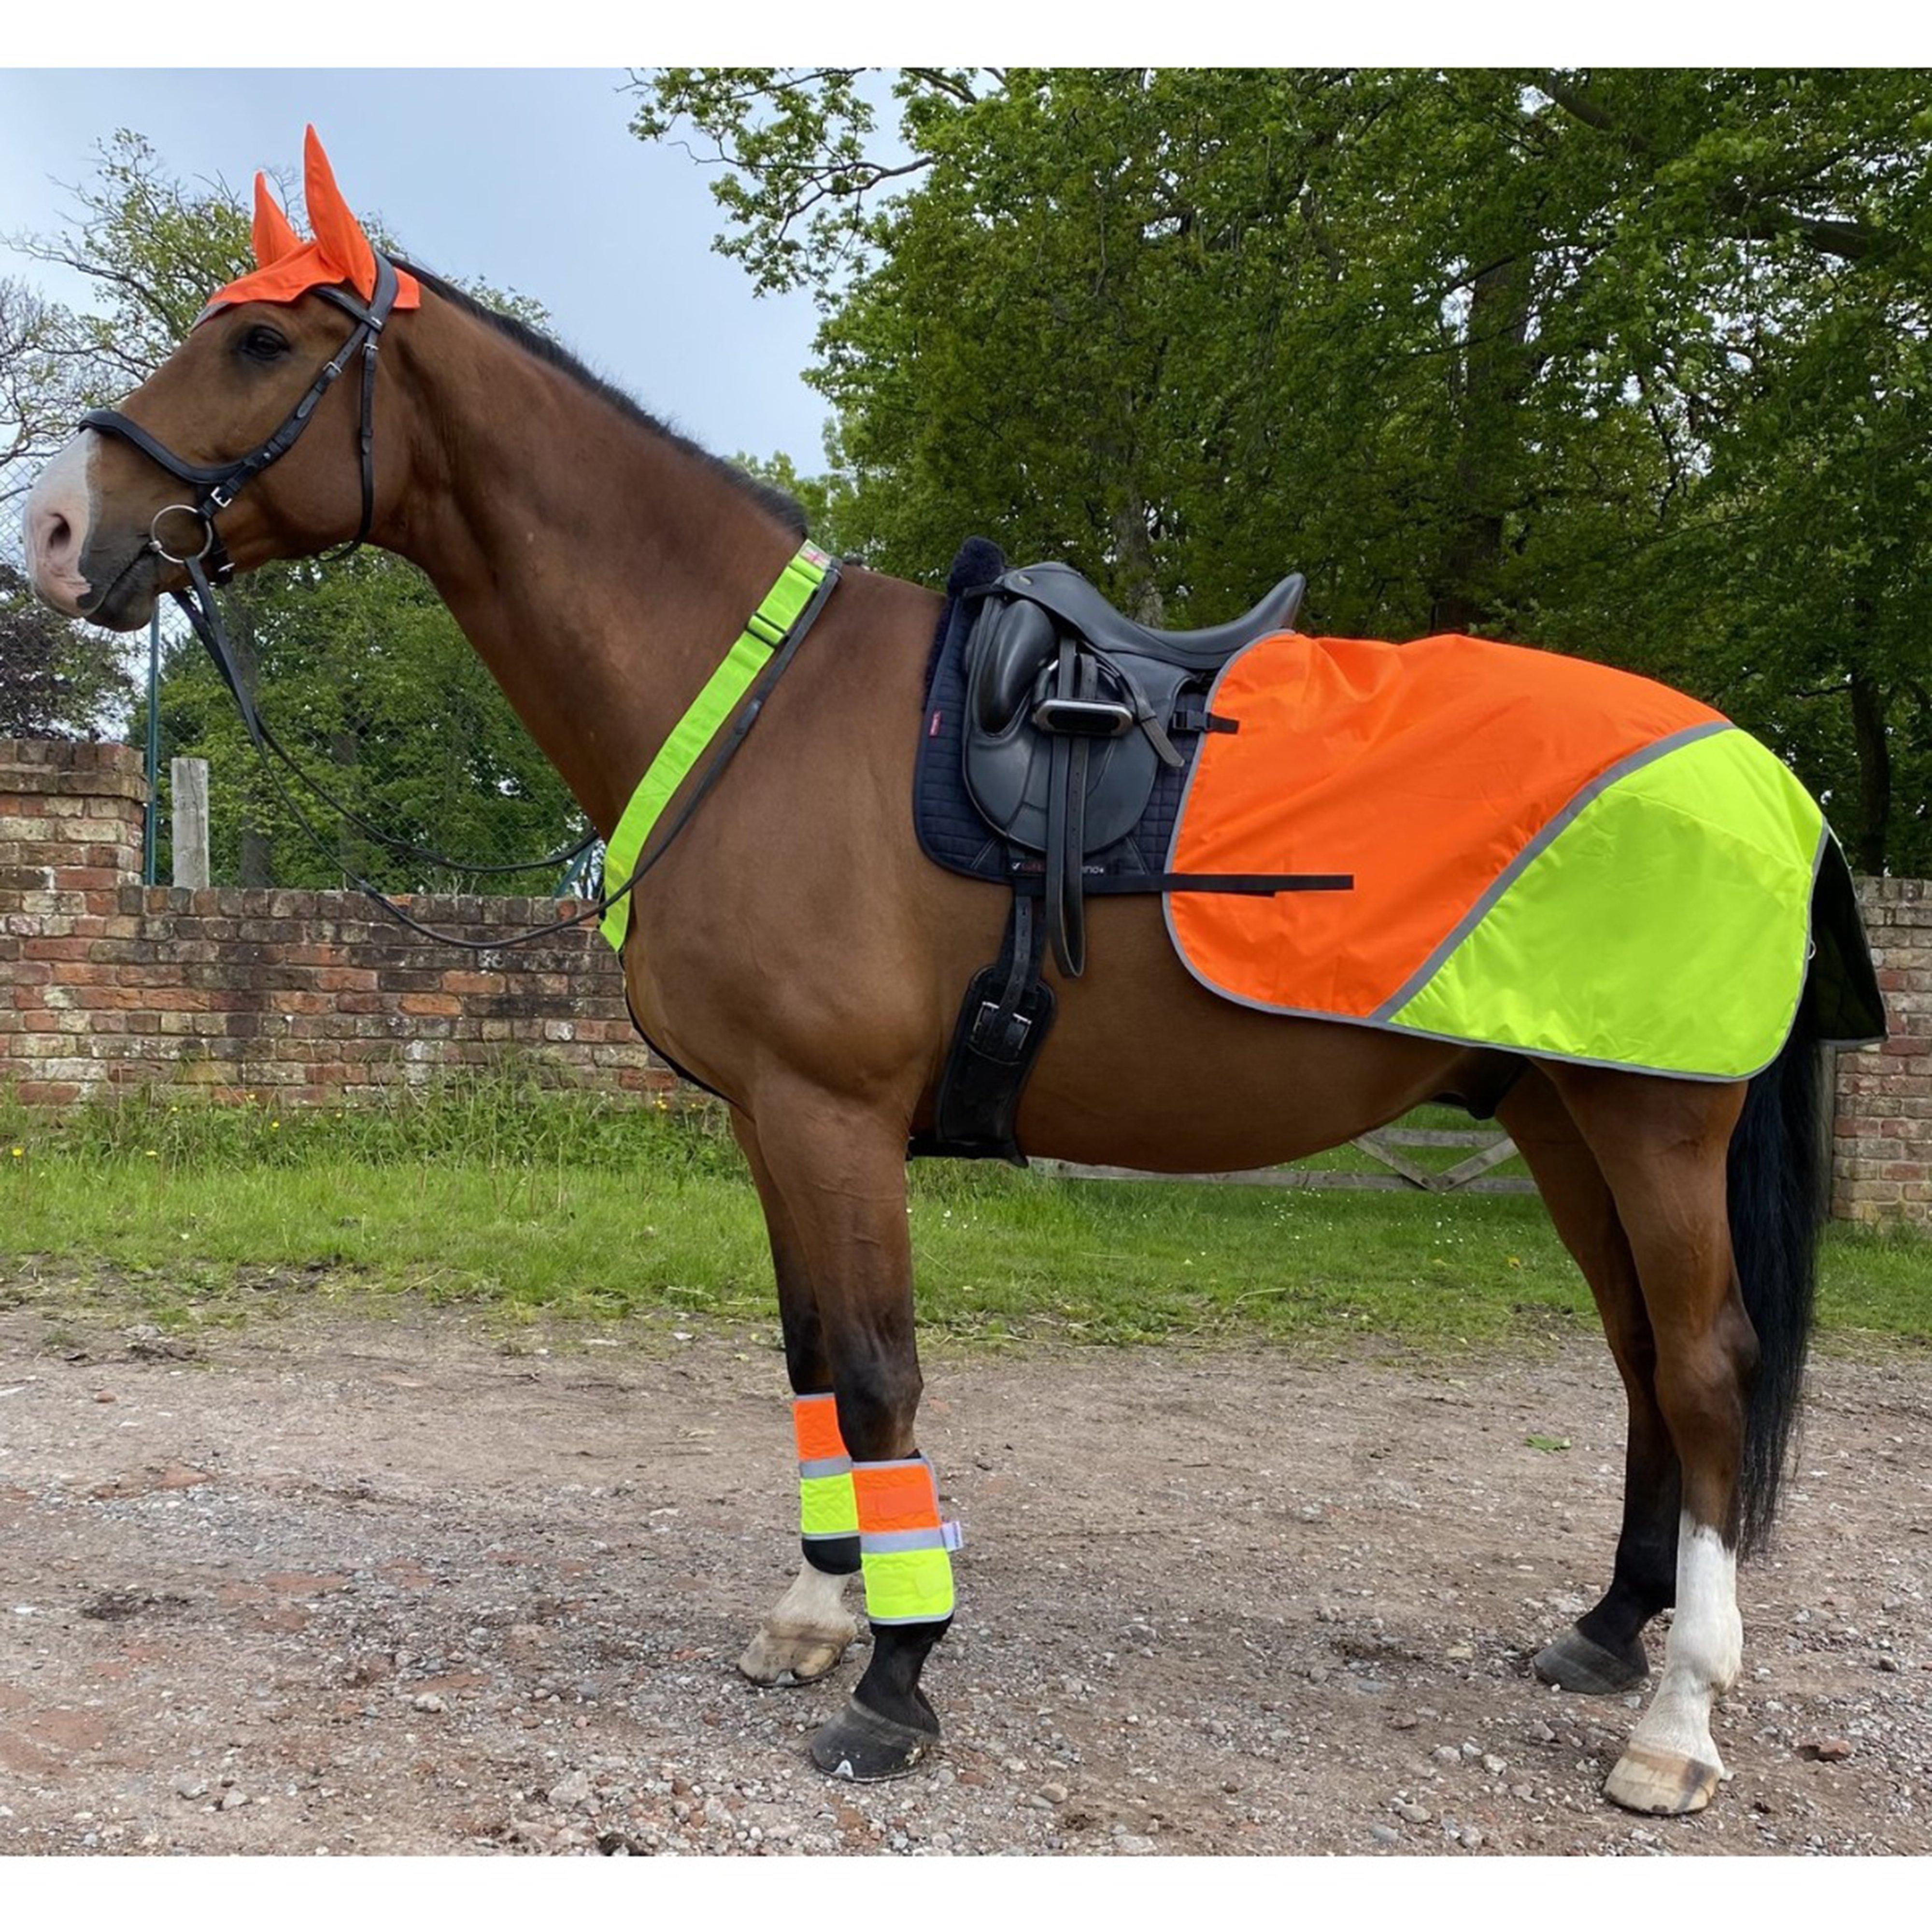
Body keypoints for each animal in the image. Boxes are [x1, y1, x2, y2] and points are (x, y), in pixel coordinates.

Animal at [23, 132, 1873, 1817]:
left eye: (263, 344)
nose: (51, 529)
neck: (753, 706)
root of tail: (1758, 774)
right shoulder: (771, 1120)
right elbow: (808, 1361)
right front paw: (814, 1614)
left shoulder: (835, 1113)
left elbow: (879, 1368)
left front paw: (897, 1682)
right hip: (1561, 1114)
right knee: (1639, 1360)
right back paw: (1610, 1628)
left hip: (1653, 1124)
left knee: (1704, 1368)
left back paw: (1676, 1722)